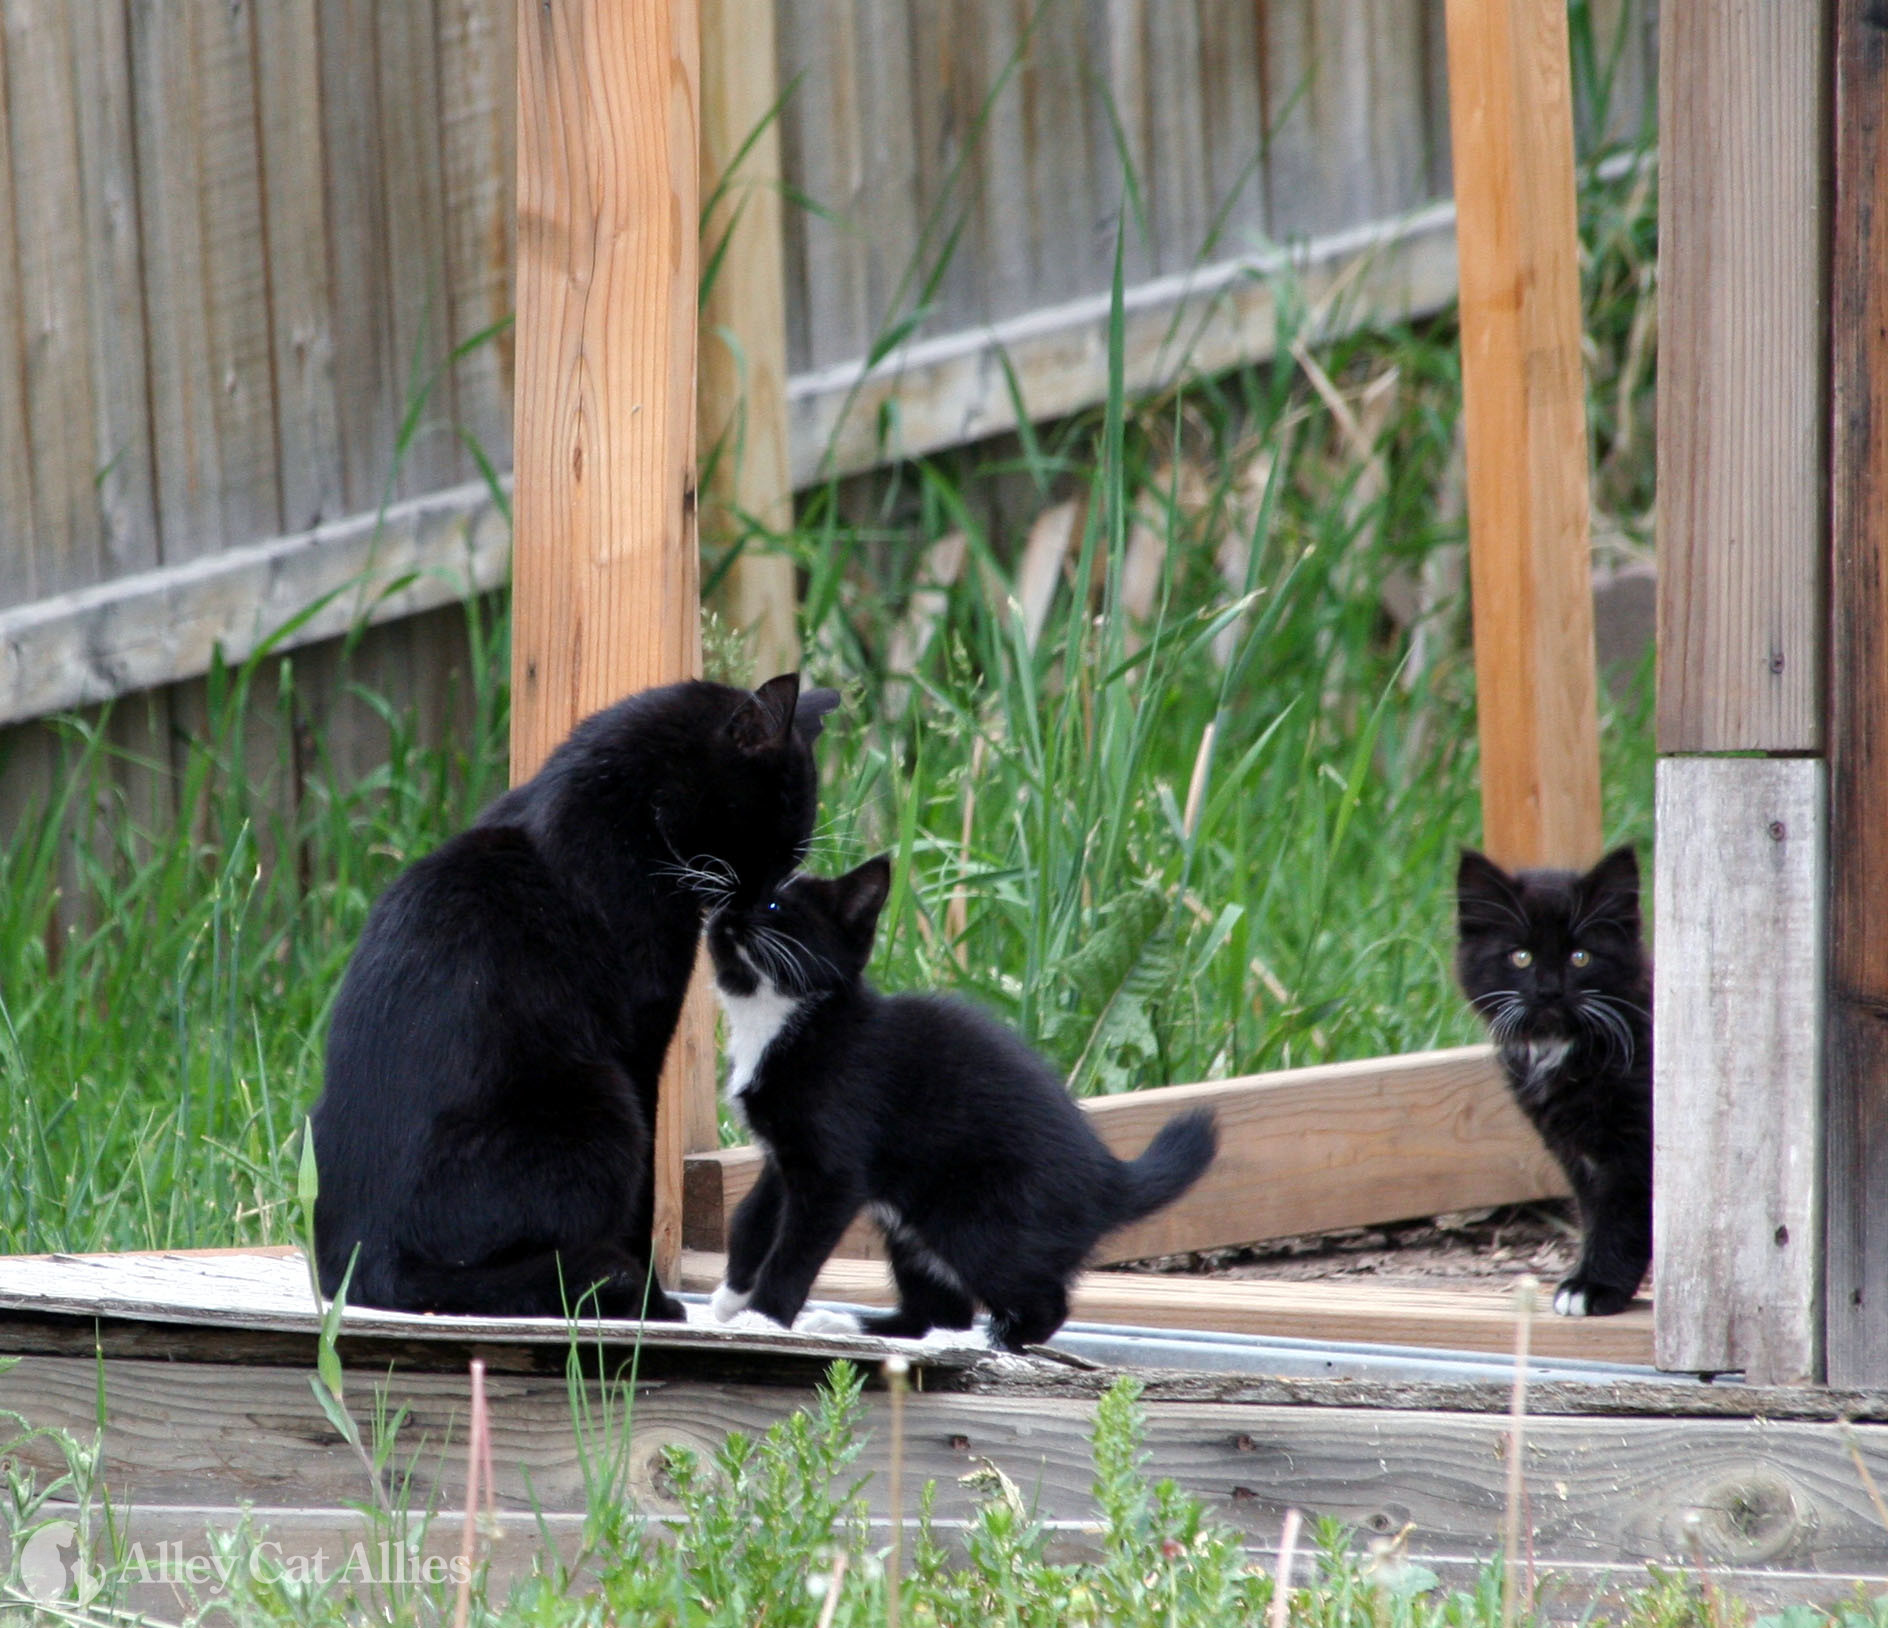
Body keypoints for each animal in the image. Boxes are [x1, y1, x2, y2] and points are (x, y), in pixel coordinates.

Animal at [309, 676, 834, 1329]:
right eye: (776, 836)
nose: (762, 902)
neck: (625, 809)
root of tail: (368, 1255)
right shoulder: (639, 1043)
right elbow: (643, 1202)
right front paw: (656, 1303)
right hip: (602, 1107)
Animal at [702, 853, 1215, 1352]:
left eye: (772, 904)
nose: (724, 907)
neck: (781, 1019)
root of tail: (1109, 1179)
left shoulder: (833, 1170)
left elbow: (795, 1249)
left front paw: (762, 1316)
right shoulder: (780, 1156)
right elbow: (752, 1218)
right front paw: (730, 1299)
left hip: (979, 1222)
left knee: (1040, 1305)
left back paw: (979, 1339)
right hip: (911, 1228)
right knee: (933, 1310)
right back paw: (851, 1323)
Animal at [1449, 846, 1646, 1322]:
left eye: (1581, 957)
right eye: (1521, 957)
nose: (1550, 990)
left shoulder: (1632, 1149)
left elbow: (1621, 1216)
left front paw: (1594, 1286)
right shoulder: (1576, 1153)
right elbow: (1595, 1214)